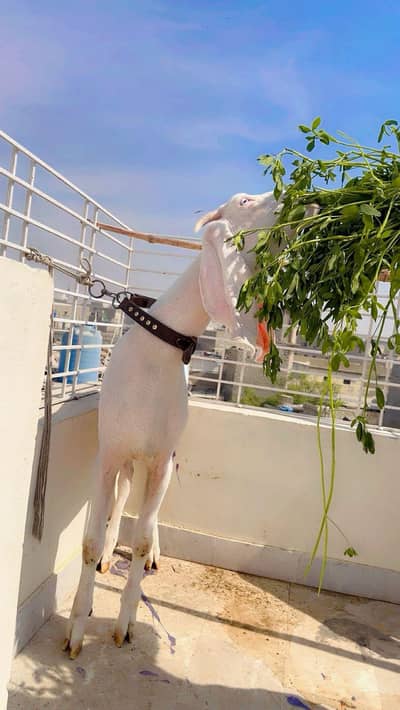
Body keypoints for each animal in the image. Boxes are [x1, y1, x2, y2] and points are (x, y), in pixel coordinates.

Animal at [63, 190, 280, 659]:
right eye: (244, 200)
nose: (304, 200)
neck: (160, 345)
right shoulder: (109, 451)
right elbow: (90, 537)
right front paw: (75, 628)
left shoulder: (162, 455)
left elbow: (143, 536)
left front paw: (124, 625)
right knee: (125, 493)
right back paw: (111, 546)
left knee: (149, 508)